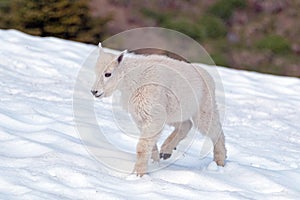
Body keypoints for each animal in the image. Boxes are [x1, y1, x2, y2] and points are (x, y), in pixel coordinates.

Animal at [92, 44, 227, 177]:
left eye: (108, 74)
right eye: (96, 72)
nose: (94, 91)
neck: (134, 79)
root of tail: (209, 77)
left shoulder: (153, 115)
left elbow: (142, 147)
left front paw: (139, 174)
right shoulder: (142, 117)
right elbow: (149, 143)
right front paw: (154, 162)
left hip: (204, 109)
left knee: (215, 130)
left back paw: (220, 161)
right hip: (174, 112)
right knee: (186, 124)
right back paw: (166, 151)